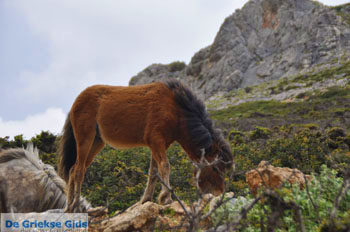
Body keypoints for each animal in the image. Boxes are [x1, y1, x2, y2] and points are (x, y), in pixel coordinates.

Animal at [58, 79, 234, 212]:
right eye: (215, 168)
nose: (220, 192)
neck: (175, 109)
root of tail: (75, 102)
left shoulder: (159, 145)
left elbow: (153, 171)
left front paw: (146, 199)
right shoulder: (156, 141)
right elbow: (164, 166)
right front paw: (166, 198)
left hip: (96, 142)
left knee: (73, 170)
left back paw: (70, 207)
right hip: (85, 139)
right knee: (78, 170)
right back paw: (75, 206)